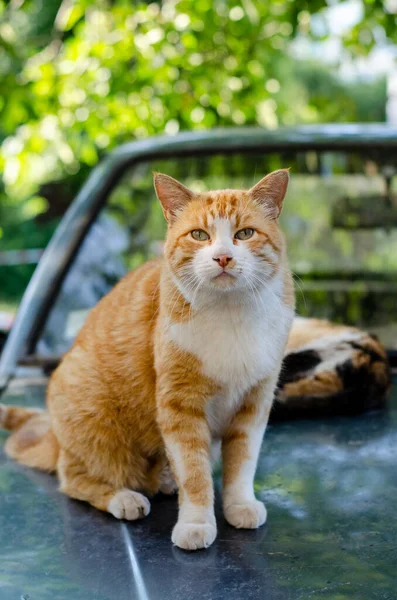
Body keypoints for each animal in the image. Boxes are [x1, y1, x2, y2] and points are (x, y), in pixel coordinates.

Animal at [0, 171, 390, 552]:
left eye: (244, 233)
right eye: (200, 235)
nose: (222, 257)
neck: (231, 315)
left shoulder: (255, 402)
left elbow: (242, 464)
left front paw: (239, 505)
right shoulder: (180, 405)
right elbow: (194, 472)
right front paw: (196, 523)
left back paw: (162, 478)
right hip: (96, 423)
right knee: (75, 478)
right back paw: (124, 497)